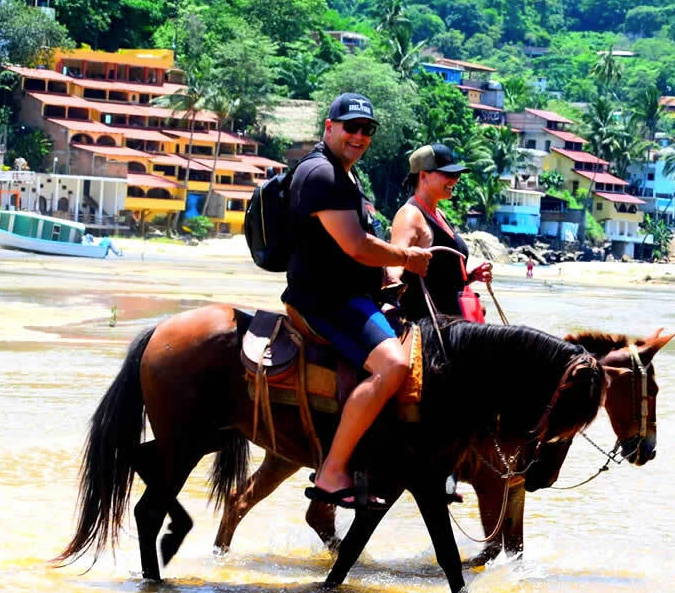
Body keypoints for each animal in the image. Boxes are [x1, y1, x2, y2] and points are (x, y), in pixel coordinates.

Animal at [56, 306, 612, 592]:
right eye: (572, 413)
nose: (536, 474)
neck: (444, 375)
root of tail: (161, 329)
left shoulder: (400, 484)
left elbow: (363, 551)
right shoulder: (418, 479)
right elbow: (442, 553)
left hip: (201, 436)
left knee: (139, 463)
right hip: (188, 439)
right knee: (149, 507)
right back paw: (161, 563)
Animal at [211, 328, 672, 564]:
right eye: (652, 389)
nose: (647, 450)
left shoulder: (514, 486)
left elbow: (515, 548)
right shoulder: (491, 484)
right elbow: (494, 547)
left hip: (286, 456)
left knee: (250, 501)